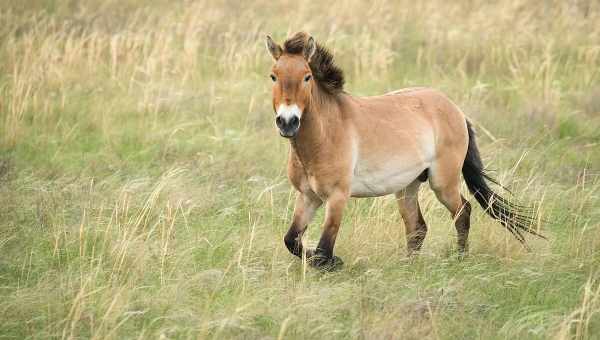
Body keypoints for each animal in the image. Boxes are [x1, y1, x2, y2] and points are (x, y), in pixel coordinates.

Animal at [264, 32, 548, 270]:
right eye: (273, 76)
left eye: (307, 76)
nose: (287, 122)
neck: (324, 135)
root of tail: (456, 110)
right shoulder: (308, 196)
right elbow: (292, 240)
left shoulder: (337, 197)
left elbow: (324, 249)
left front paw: (334, 263)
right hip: (407, 186)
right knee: (417, 227)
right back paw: (409, 266)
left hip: (442, 183)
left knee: (462, 212)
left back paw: (460, 258)